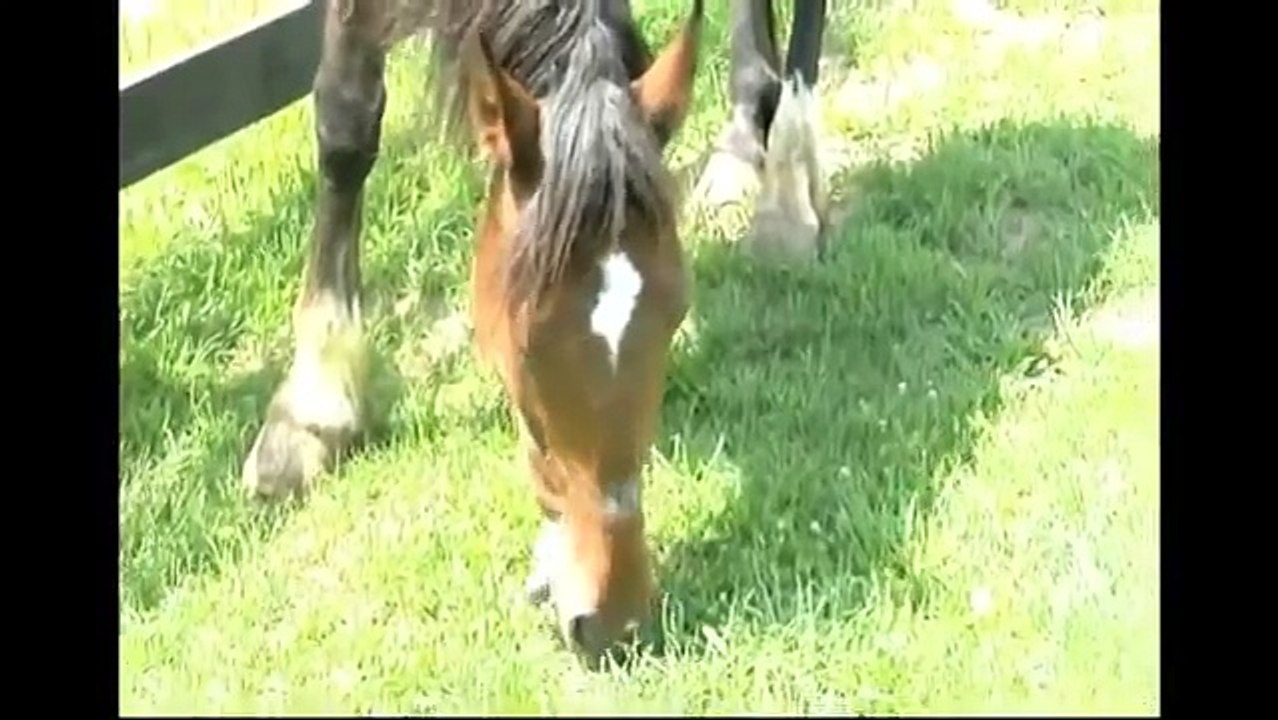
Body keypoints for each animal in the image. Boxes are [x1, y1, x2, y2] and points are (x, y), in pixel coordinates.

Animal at [237, 0, 828, 663]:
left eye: (675, 314)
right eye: (524, 343)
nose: (615, 618)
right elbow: (346, 120)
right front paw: (312, 410)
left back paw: (781, 192)